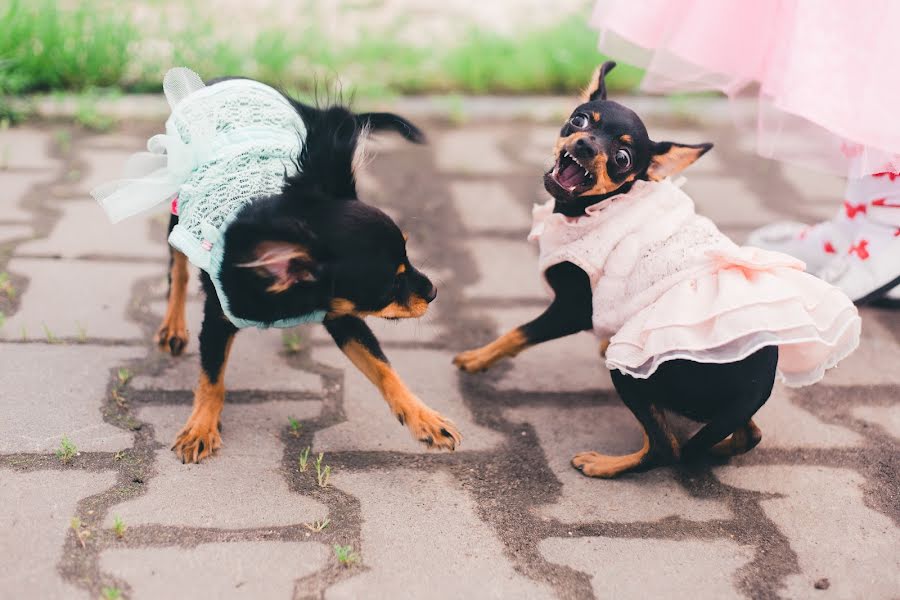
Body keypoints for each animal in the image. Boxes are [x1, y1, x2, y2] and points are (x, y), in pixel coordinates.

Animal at [155, 81, 460, 464]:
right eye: (390, 284)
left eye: (409, 252)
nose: (433, 291)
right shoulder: (218, 318)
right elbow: (211, 378)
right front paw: (201, 428)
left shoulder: (342, 315)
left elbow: (383, 368)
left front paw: (424, 419)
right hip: (177, 213)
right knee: (177, 269)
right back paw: (173, 326)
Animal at [454, 63, 776, 478]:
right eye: (580, 120)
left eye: (622, 157)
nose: (586, 146)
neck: (589, 210)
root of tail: (759, 385)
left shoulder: (572, 310)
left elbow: (517, 332)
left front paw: (478, 358)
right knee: (746, 434)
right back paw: (717, 448)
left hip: (629, 371)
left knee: (666, 448)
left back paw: (606, 464)